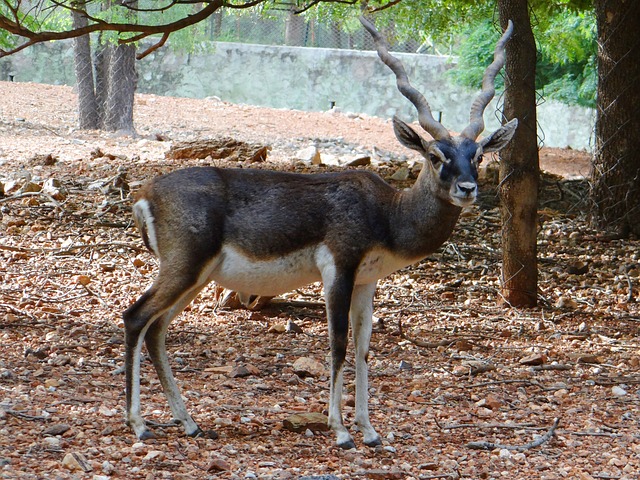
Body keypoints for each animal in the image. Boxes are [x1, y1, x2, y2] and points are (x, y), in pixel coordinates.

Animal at [122, 15, 516, 450]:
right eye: (435, 156)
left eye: (477, 156)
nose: (467, 188)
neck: (387, 213)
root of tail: (146, 193)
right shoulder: (338, 271)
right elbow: (338, 344)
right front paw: (341, 431)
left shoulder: (367, 281)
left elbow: (363, 348)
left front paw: (369, 430)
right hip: (185, 269)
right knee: (135, 318)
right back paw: (138, 424)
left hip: (196, 277)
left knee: (157, 330)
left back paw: (188, 422)